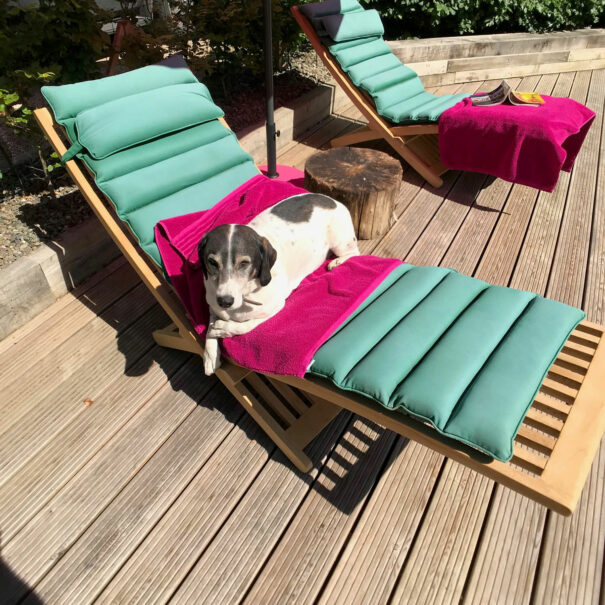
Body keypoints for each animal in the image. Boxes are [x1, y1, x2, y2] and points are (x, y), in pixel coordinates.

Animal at [198, 193, 358, 372]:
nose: (225, 301)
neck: (245, 295)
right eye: (212, 262)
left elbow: (244, 325)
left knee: (355, 252)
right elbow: (210, 327)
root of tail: (332, 200)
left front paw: (223, 329)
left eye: (244, 263)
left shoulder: (275, 307)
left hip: (340, 242)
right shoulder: (213, 305)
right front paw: (210, 355)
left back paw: (337, 262)